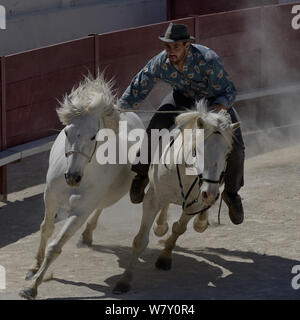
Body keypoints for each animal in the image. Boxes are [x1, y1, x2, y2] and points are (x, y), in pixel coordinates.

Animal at [19, 74, 144, 298]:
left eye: (94, 135)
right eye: (66, 133)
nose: (72, 177)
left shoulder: (80, 211)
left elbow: (55, 246)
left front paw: (32, 287)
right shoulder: (49, 197)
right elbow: (46, 229)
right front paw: (33, 268)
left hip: (111, 195)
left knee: (101, 207)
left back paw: (87, 236)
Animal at [112, 104, 239, 294]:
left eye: (227, 154)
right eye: (197, 151)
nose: (210, 193)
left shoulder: (195, 204)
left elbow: (179, 228)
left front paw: (164, 258)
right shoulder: (153, 199)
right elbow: (140, 241)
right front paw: (124, 281)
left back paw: (200, 221)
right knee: (165, 206)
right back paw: (160, 225)